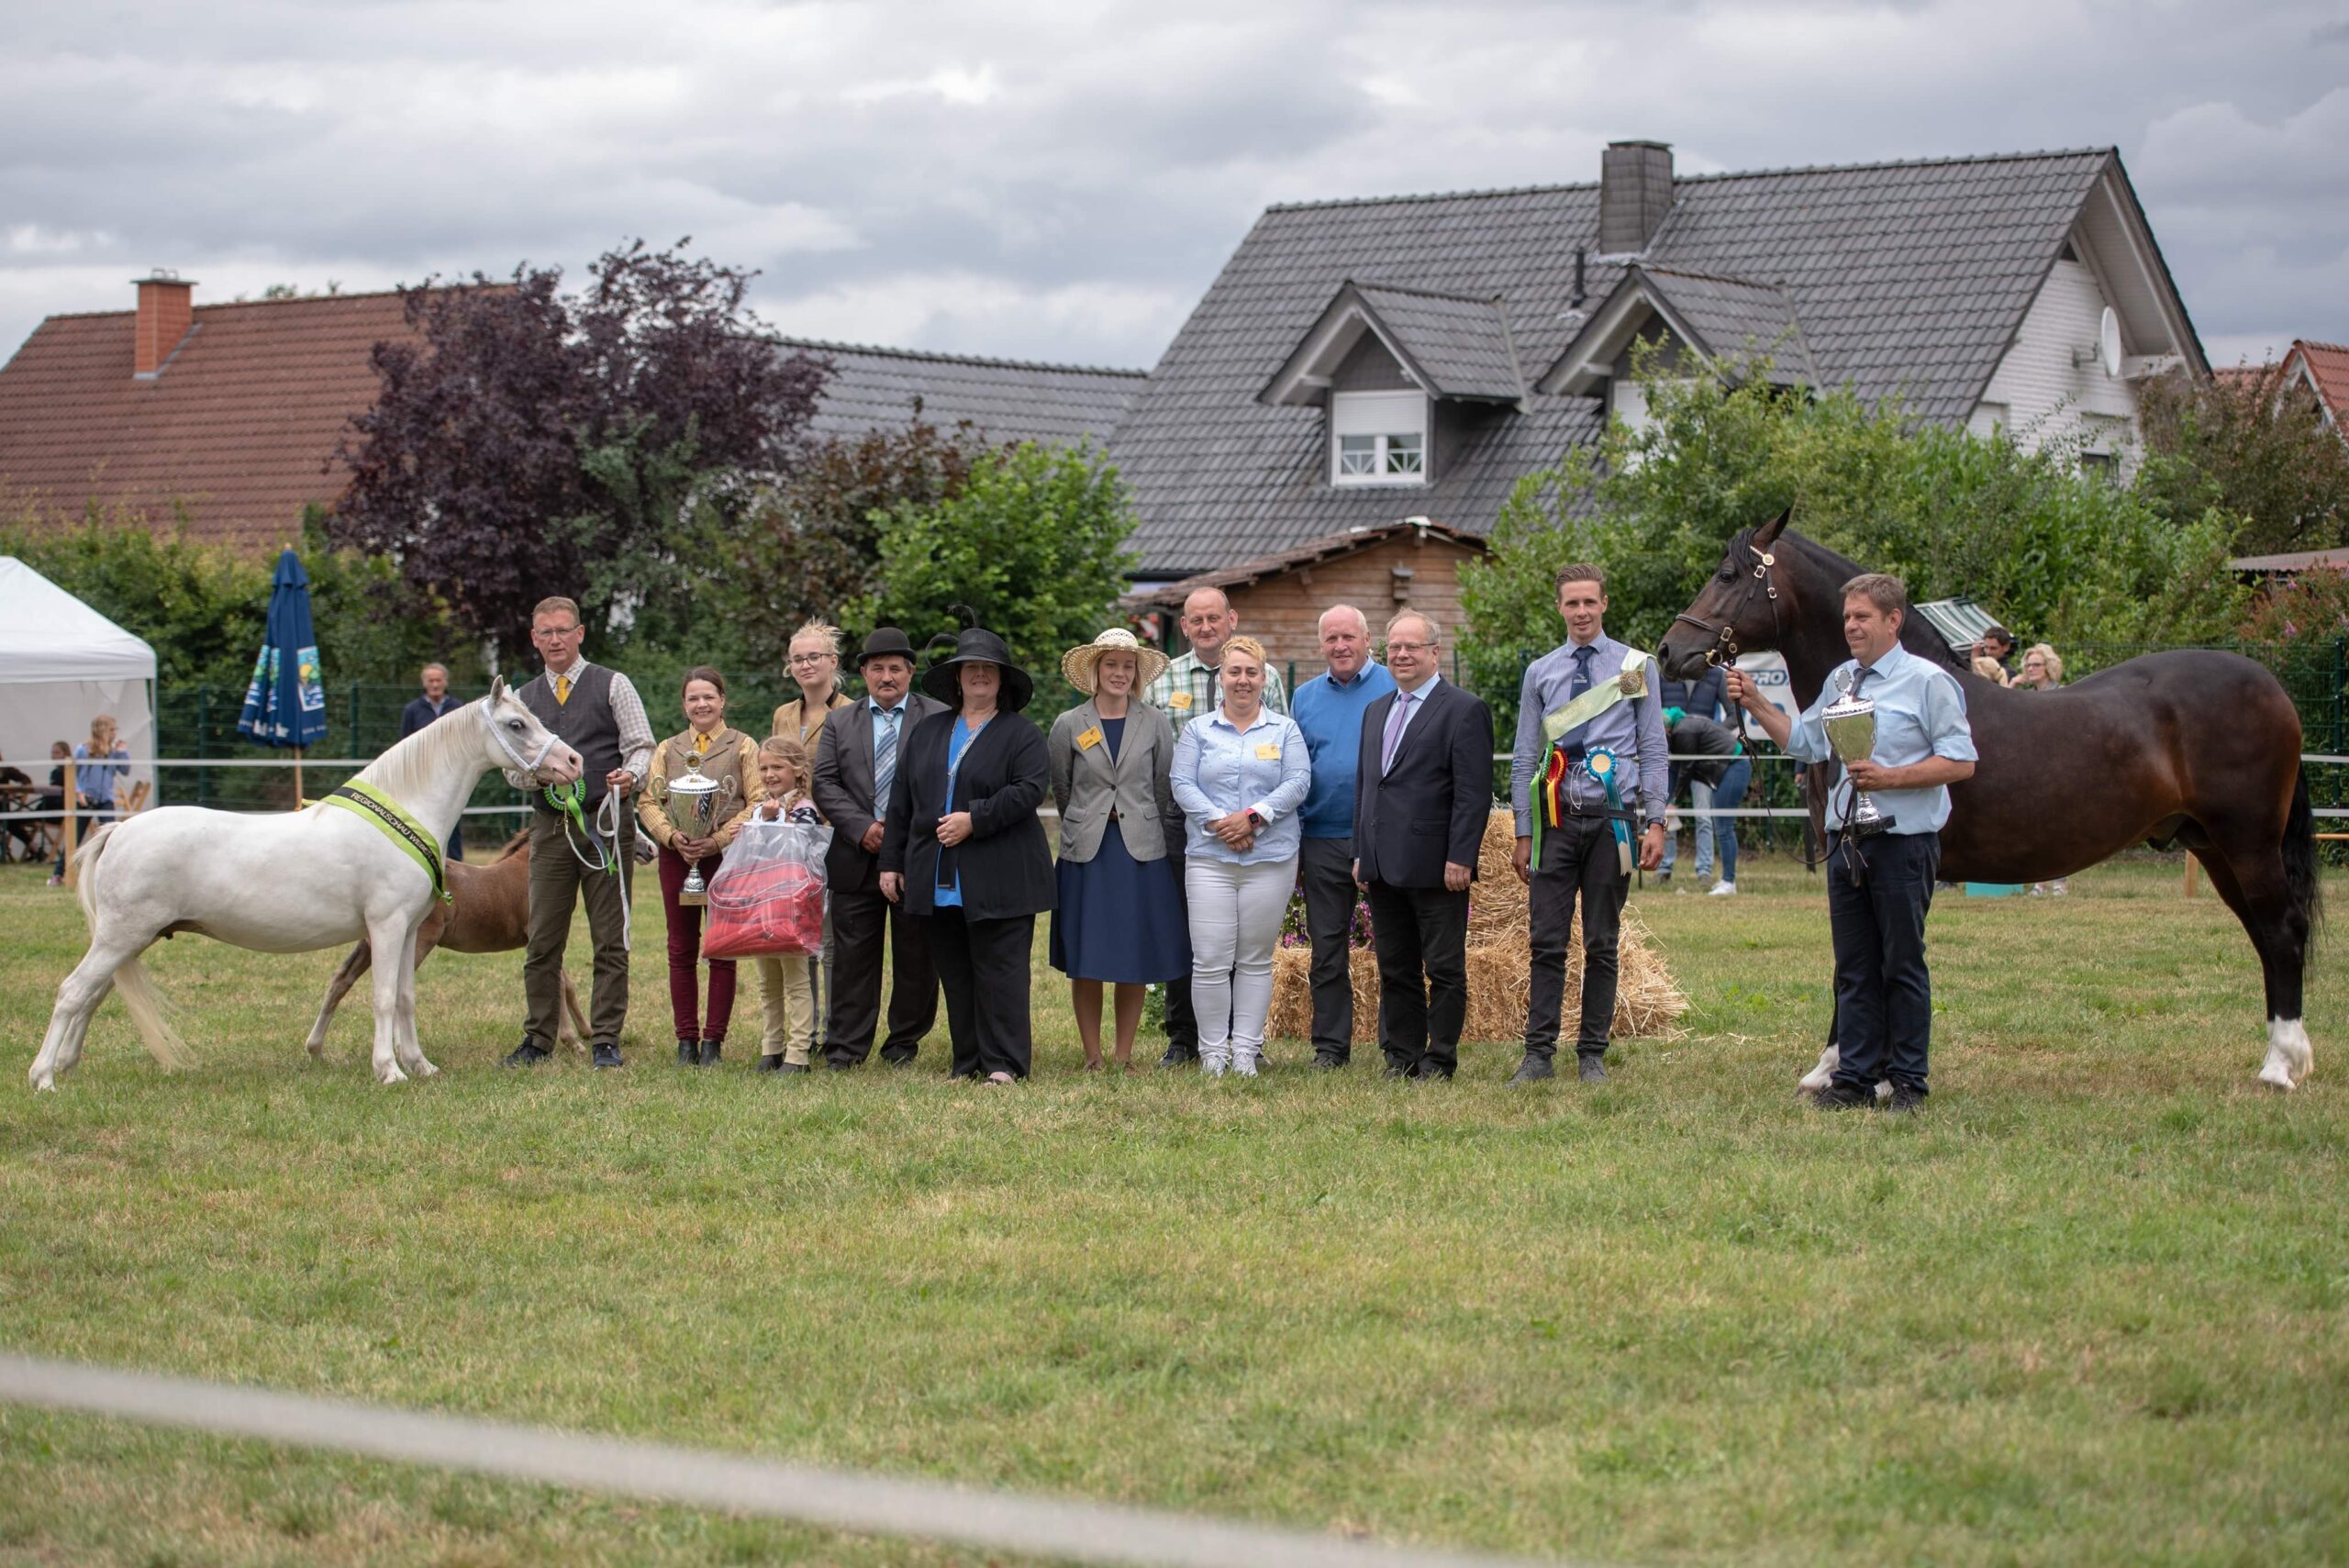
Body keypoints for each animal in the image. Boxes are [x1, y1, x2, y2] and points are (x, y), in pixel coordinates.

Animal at [303, 829, 590, 1059]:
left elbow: (568, 985)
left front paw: (586, 1031)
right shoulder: (540, 935)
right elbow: (557, 983)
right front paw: (572, 1041)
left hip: (370, 944)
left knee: (341, 980)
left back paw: (315, 1048)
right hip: (414, 942)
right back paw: (400, 1049)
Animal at [1657, 512, 2319, 1092]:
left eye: (1728, 575)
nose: (1669, 650)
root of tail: (2273, 687)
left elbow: (1875, 961)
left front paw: (1861, 1073)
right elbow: (1860, 961)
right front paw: (1845, 1069)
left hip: (2248, 843)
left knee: (2282, 929)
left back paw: (2280, 1066)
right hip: (2214, 847)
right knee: (2265, 935)